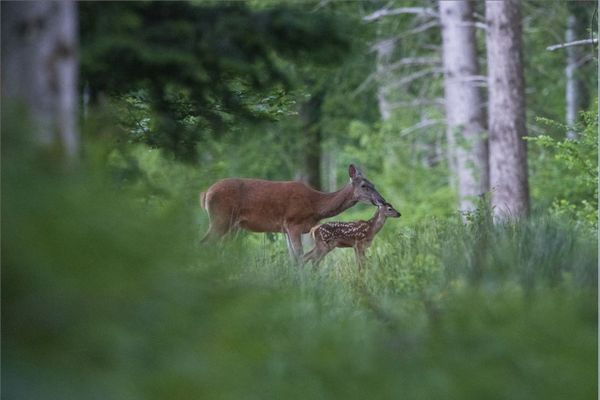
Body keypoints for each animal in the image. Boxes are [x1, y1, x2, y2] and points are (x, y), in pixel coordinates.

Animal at [199, 164, 386, 260]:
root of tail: (206, 193)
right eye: (364, 185)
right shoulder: (293, 223)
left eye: (374, 184)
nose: (382, 201)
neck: (316, 206)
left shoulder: (286, 229)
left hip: (232, 226)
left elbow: (292, 259)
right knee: (204, 243)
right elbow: (298, 257)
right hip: (221, 218)